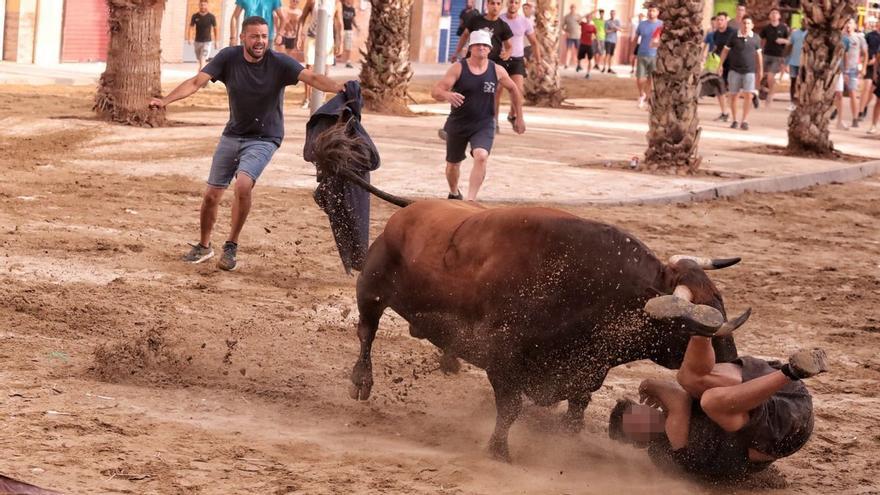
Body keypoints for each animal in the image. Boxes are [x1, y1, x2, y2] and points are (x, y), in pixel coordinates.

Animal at [312, 123, 748, 462]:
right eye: (695, 334)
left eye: (721, 303)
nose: (733, 367)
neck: (596, 286)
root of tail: (410, 208)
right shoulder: (504, 360)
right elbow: (510, 408)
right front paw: (499, 450)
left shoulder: (586, 370)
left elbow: (575, 412)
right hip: (370, 289)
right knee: (366, 332)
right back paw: (362, 381)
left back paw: (449, 359)